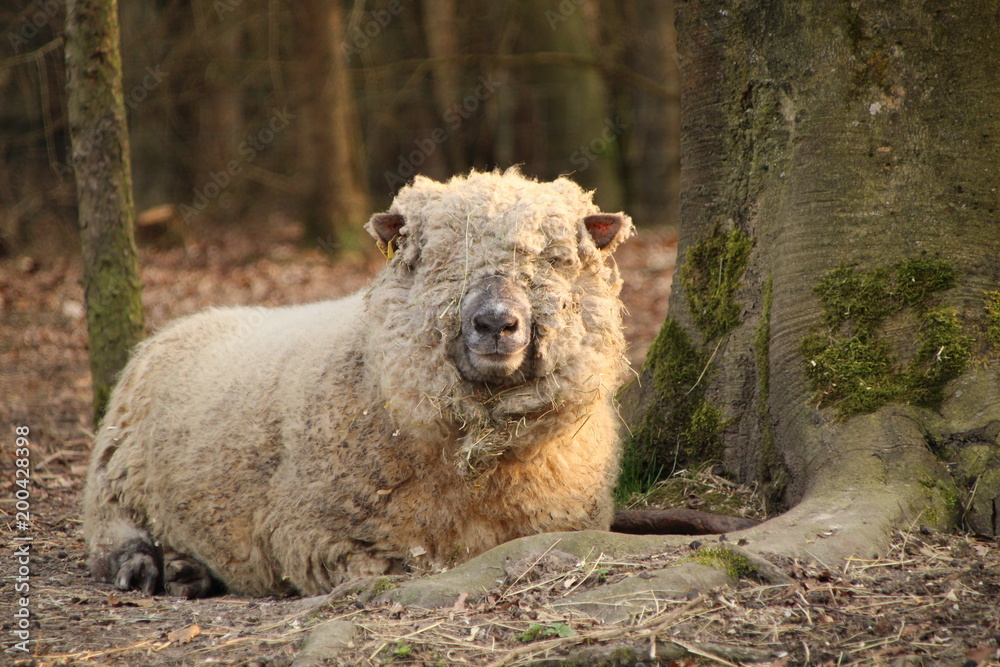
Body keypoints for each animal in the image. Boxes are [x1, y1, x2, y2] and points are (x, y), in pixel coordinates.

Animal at [82, 168, 634, 597]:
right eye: (433, 260)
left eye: (556, 260)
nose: (495, 323)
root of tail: (186, 322)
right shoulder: (320, 540)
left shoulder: (565, 525)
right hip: (115, 477)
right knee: (111, 537)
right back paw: (146, 568)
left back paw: (187, 572)